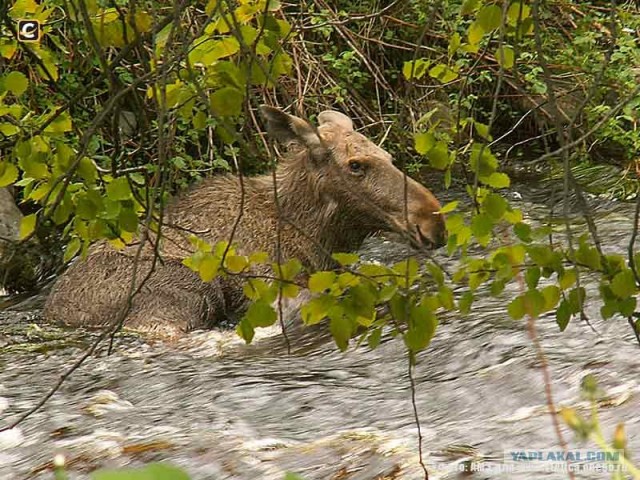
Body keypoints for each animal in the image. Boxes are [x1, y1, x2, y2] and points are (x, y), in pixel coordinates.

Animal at [43, 107, 444, 336]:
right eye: (355, 165)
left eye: (388, 155)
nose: (431, 221)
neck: (314, 234)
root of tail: (55, 313)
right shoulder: (273, 291)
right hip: (185, 292)